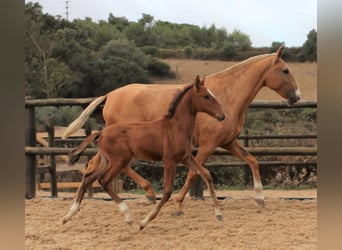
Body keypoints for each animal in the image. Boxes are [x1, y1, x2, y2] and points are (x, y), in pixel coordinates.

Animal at [62, 46, 300, 212]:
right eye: (285, 70)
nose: (297, 97)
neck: (227, 96)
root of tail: (110, 95)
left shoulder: (228, 143)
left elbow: (252, 161)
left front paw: (260, 198)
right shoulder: (207, 146)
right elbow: (195, 174)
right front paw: (177, 203)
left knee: (93, 166)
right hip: (121, 146)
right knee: (116, 167)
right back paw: (148, 192)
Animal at [62, 76, 226, 230]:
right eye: (206, 96)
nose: (222, 115)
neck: (176, 128)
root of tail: (101, 133)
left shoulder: (186, 158)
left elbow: (206, 174)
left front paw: (219, 214)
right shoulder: (169, 161)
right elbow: (167, 192)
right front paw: (143, 222)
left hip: (106, 161)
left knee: (90, 177)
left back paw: (69, 215)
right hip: (119, 160)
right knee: (104, 180)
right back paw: (128, 215)